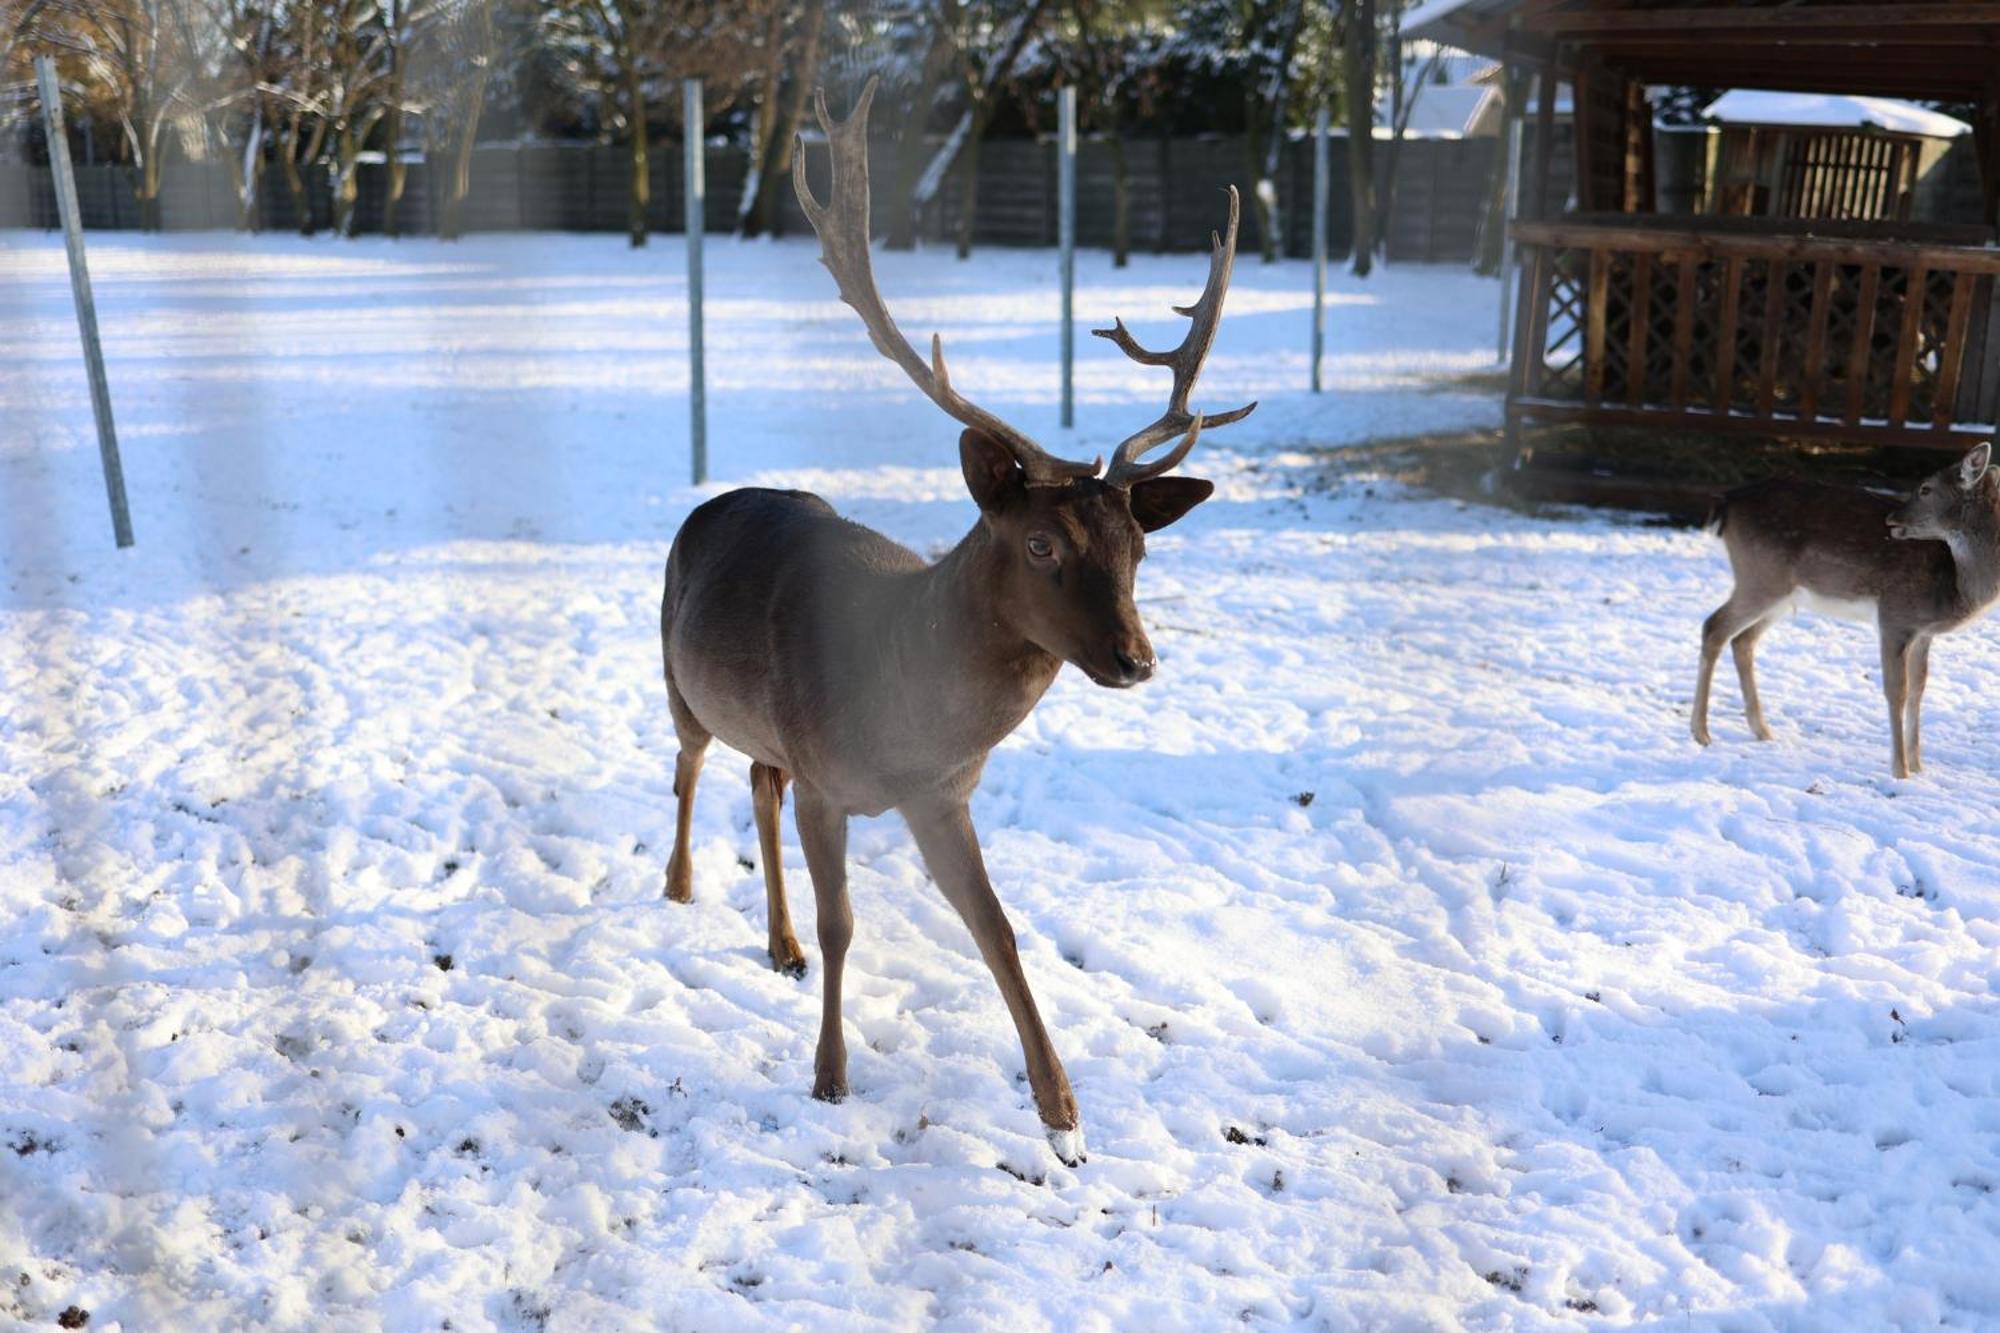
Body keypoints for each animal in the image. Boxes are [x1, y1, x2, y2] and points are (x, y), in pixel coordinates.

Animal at [656, 80, 1248, 1160]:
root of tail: (717, 500)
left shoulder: (943, 793)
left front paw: (1060, 1109)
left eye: (1138, 549)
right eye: (1042, 545)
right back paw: (681, 885)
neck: (907, 719)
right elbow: (846, 922)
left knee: (756, 778)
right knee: (688, 763)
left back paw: (777, 942)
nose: (1135, 659)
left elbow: (998, 928)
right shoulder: (830, 778)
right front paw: (830, 1076)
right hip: (678, 675)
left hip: (767, 728)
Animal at [1688, 440, 2000, 772]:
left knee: (1743, 639)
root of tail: (1727, 500)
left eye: (1926, 488)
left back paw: (1761, 730)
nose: (1892, 518)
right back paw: (1701, 732)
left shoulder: (1924, 633)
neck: (1956, 585)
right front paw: (1899, 770)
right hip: (1760, 577)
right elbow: (1897, 692)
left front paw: (1918, 768)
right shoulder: (1894, 616)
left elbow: (1918, 690)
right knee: (1714, 627)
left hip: (1781, 593)